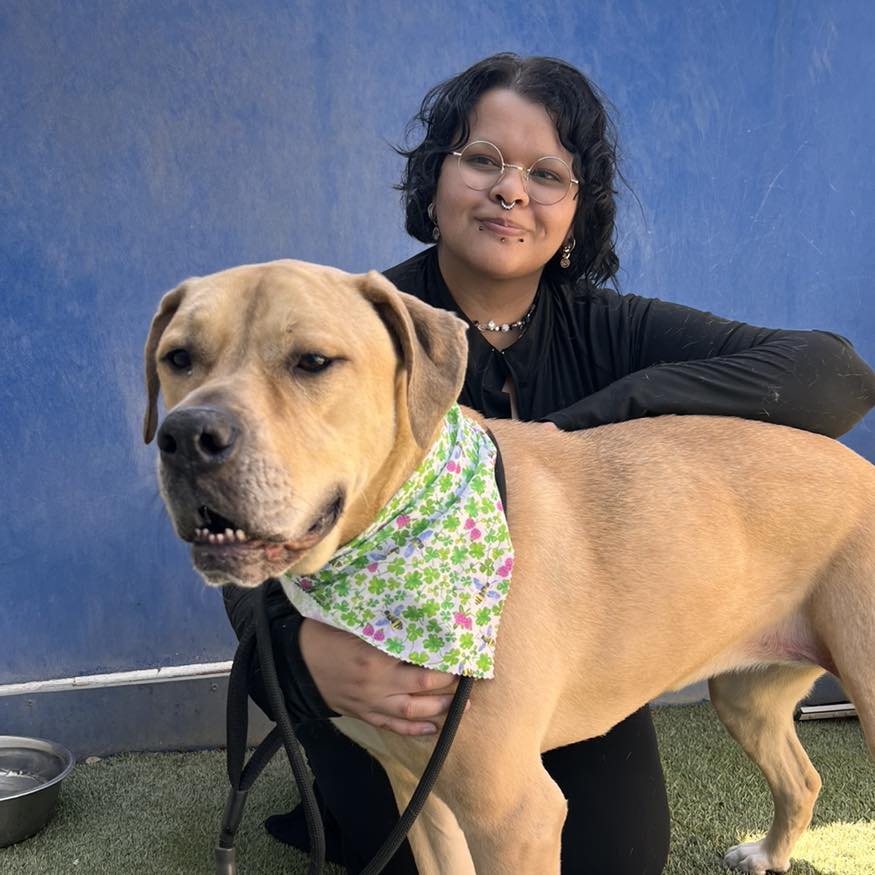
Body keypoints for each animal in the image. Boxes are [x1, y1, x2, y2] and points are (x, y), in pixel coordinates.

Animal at [145, 260, 875, 875]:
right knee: (802, 777)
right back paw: (770, 853)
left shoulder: (516, 816)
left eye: (313, 362)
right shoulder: (422, 798)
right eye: (177, 358)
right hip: (745, 694)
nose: (186, 437)